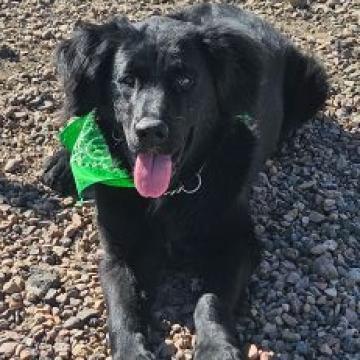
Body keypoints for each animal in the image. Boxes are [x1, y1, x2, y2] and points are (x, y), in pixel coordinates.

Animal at [42, 3, 326, 360]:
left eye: (185, 79)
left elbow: (210, 299)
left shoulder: (238, 241)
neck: (172, 191)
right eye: (127, 80)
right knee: (77, 116)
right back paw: (62, 164)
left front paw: (216, 347)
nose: (149, 131)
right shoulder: (116, 250)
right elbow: (123, 305)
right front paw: (132, 350)